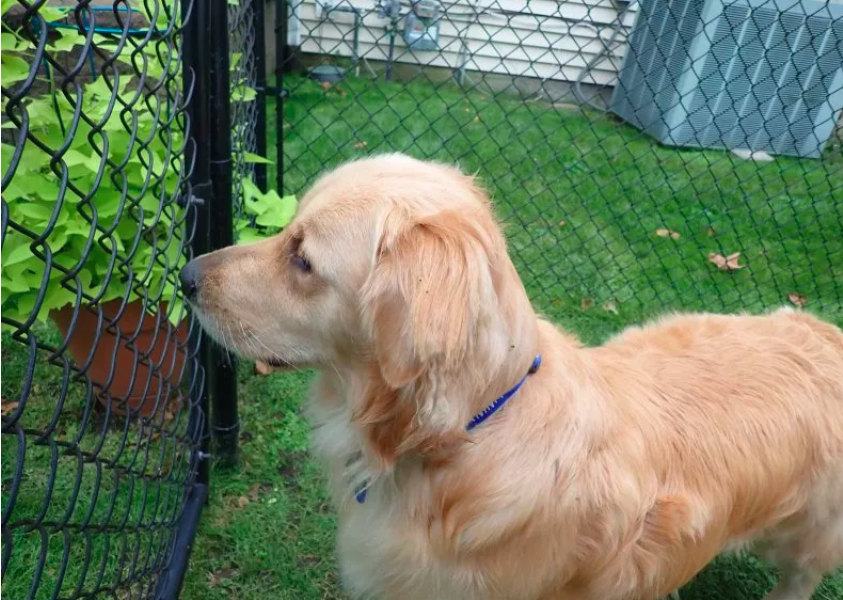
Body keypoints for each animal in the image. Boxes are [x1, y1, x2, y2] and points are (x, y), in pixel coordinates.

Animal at [183, 154, 843, 600]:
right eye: (287, 229)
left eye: (303, 259)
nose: (186, 275)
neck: (457, 437)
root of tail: (825, 332)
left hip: (806, 534)